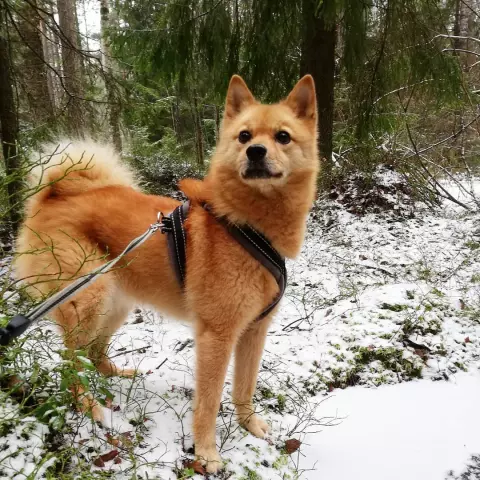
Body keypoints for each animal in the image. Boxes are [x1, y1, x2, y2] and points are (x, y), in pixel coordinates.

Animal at [15, 75, 318, 472]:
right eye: (244, 136)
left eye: (283, 136)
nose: (255, 152)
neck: (248, 226)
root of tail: (55, 195)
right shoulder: (216, 337)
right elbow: (208, 402)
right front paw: (206, 453)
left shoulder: (254, 331)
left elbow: (244, 388)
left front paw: (250, 425)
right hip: (89, 298)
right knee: (70, 363)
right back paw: (90, 407)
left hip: (115, 303)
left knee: (94, 355)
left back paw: (117, 377)